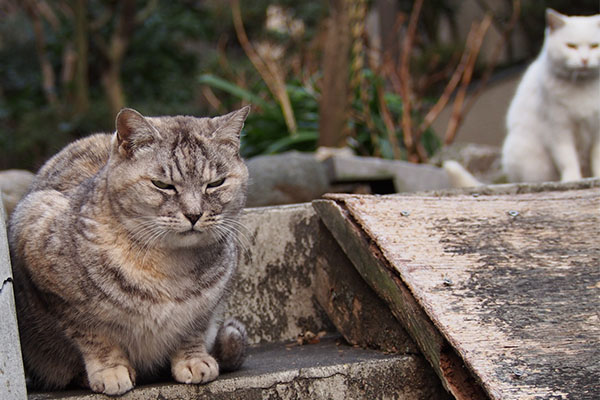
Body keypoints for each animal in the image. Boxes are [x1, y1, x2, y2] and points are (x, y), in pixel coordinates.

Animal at [8, 104, 251, 396]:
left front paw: (193, 360)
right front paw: (111, 371)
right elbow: (96, 338)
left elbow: (192, 330)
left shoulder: (207, 306)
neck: (170, 269)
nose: (194, 214)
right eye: (163, 185)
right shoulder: (60, 294)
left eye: (215, 183)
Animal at [502, 9, 600, 182]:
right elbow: (567, 158)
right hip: (528, 157)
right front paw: (572, 179)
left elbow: (597, 158)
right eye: (571, 46)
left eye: (595, 46)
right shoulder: (557, 128)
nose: (584, 60)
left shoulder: (597, 129)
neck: (583, 87)